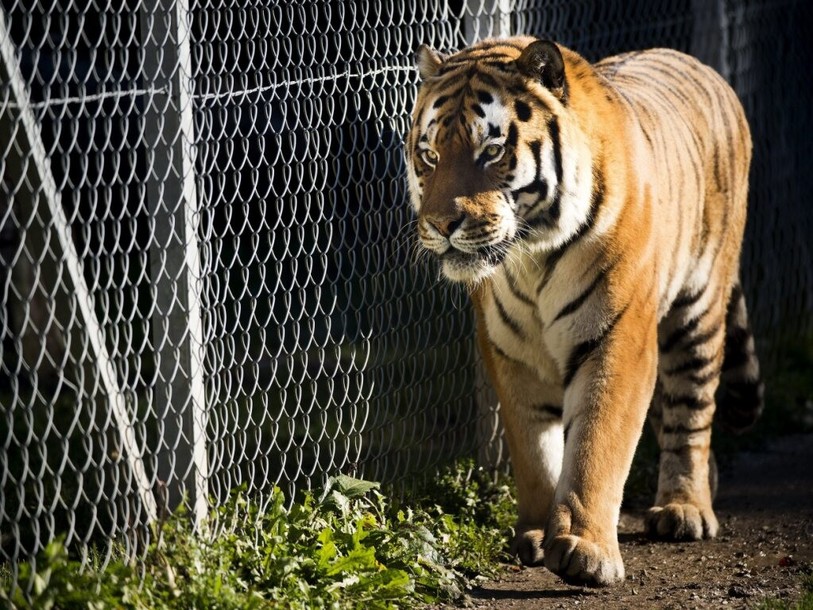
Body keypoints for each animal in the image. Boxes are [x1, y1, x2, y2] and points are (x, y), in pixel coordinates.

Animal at [405, 36, 763, 587]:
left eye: (492, 151)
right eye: (429, 154)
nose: (442, 225)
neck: (531, 256)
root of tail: (699, 64)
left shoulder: (616, 338)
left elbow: (597, 443)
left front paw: (585, 549)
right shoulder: (512, 353)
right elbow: (534, 451)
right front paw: (535, 534)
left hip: (697, 310)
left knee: (691, 412)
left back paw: (685, 507)